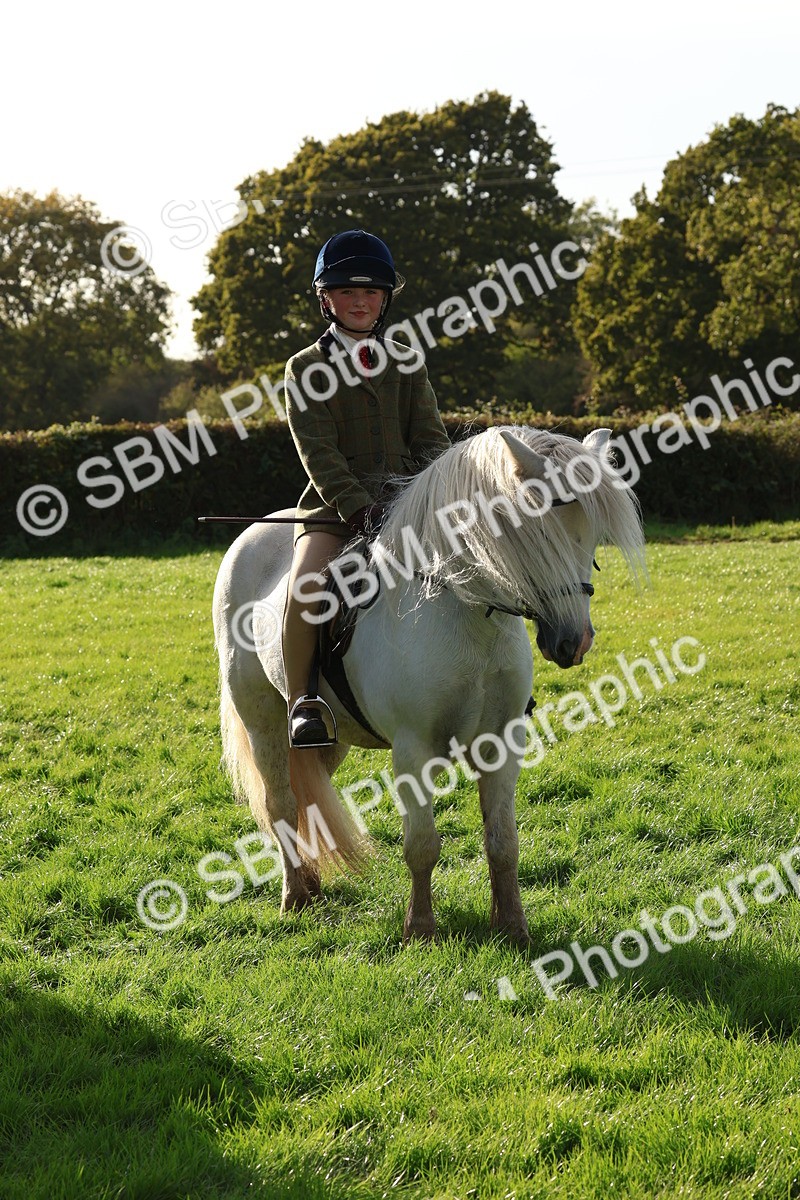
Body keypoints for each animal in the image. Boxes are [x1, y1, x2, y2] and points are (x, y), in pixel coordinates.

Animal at [212, 426, 645, 943]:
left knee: (309, 795)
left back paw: (311, 883)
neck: (469, 610)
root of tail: (253, 533)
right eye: (537, 530)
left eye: (593, 539)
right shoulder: (413, 749)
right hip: (262, 720)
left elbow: (503, 841)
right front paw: (419, 928)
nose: (573, 642)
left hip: (332, 737)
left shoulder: (501, 742)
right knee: (280, 801)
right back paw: (295, 895)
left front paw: (512, 927)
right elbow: (421, 844)